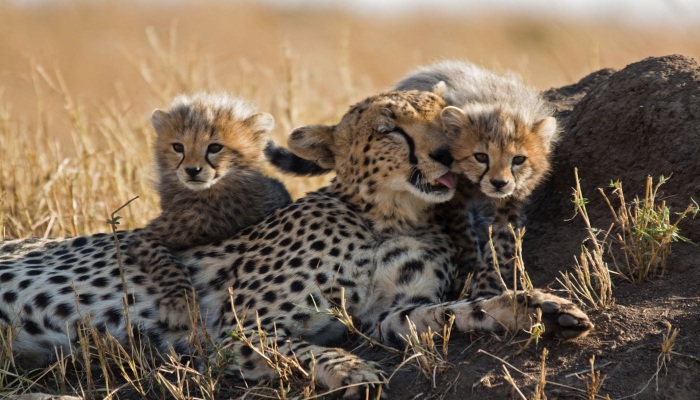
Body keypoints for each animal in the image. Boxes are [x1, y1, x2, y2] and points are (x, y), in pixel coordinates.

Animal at [127, 92, 291, 329]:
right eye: (178, 147)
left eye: (214, 148)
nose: (192, 170)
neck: (212, 198)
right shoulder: (146, 238)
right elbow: (167, 264)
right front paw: (180, 306)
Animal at [394, 60, 560, 299]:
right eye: (481, 157)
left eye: (518, 159)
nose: (499, 183)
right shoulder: (451, 196)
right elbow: (462, 233)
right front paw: (470, 270)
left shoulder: (511, 201)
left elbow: (501, 244)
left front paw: (487, 284)